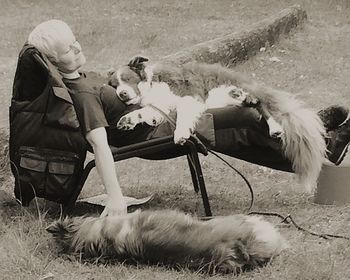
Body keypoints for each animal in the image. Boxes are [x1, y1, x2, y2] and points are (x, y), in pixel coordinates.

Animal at [108, 56, 326, 192]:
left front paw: (180, 133)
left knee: (261, 105)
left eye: (126, 79)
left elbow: (182, 116)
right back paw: (239, 97)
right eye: (114, 85)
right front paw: (128, 120)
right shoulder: (160, 106)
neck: (152, 84)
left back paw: (274, 126)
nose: (122, 94)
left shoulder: (188, 96)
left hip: (222, 89)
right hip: (217, 98)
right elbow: (143, 112)